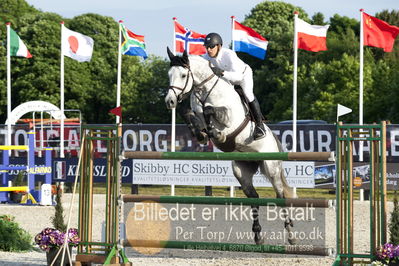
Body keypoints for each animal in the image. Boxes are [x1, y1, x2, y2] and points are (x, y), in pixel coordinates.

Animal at [164, 48, 298, 245]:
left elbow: (210, 111)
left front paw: (216, 133)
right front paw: (201, 134)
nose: (170, 101)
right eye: (169, 75)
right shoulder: (195, 111)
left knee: (280, 196)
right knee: (254, 198)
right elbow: (190, 113)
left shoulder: (229, 118)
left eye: (183, 75)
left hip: (271, 167)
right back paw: (258, 235)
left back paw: (290, 235)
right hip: (241, 170)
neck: (205, 91)